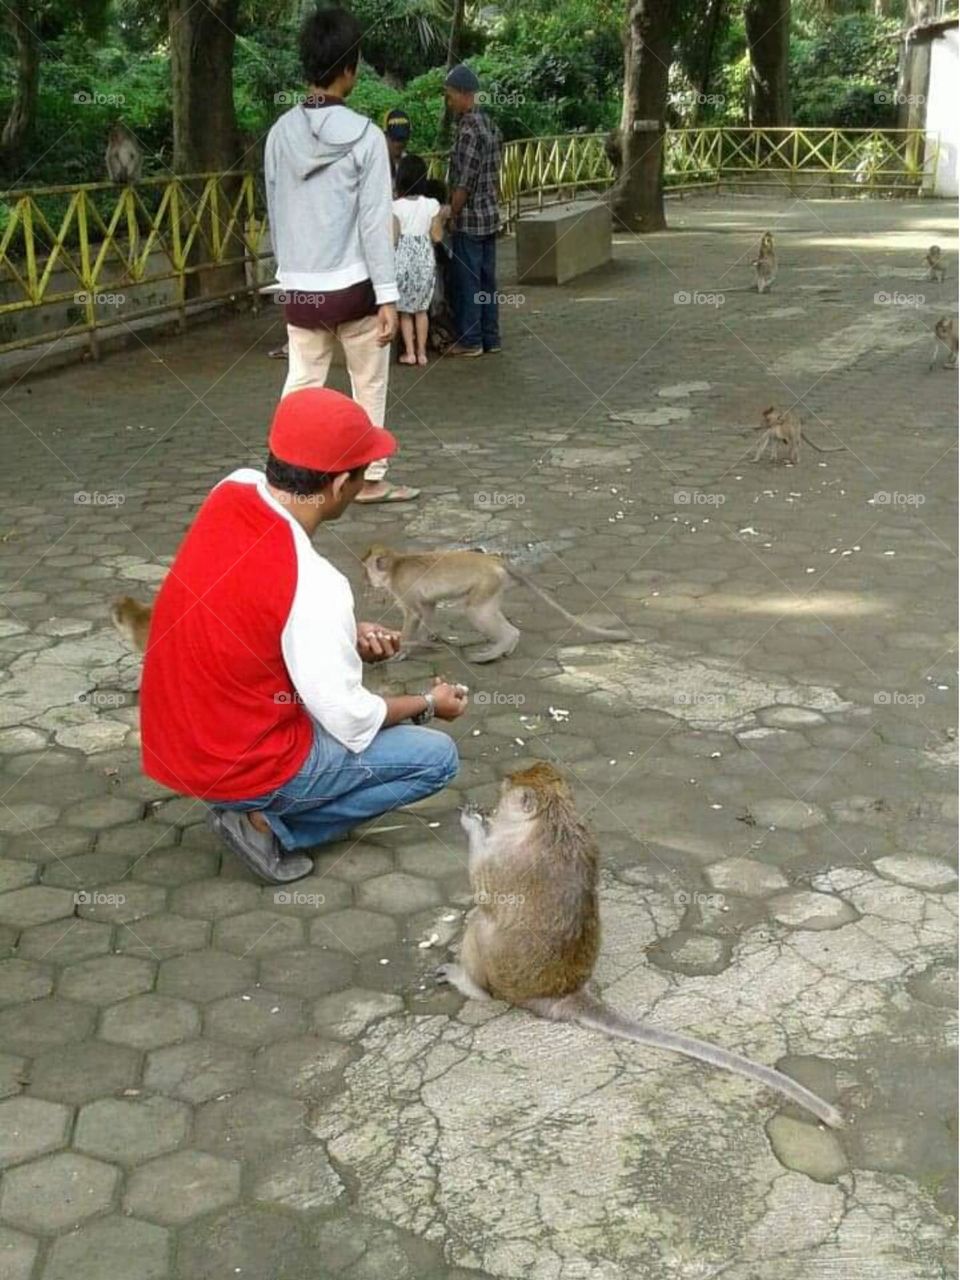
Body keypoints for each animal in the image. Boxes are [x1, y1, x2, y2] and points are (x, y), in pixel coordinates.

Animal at [362, 546, 630, 663]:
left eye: (367, 570)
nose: (364, 580)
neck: (395, 565)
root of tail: (493, 560)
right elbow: (428, 608)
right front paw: (426, 642)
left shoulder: (403, 588)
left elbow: (415, 614)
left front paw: (403, 651)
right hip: (494, 585)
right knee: (486, 611)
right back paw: (509, 643)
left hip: (487, 582)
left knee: (475, 612)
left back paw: (498, 647)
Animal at [436, 762, 844, 1129]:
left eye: (505, 790)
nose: (492, 805)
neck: (554, 819)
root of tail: (562, 991)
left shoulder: (505, 855)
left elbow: (484, 889)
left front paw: (474, 824)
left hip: (501, 975)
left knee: (481, 925)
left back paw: (469, 983)